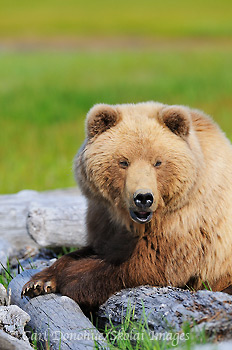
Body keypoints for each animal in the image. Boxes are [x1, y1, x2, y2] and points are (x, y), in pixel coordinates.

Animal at [21, 102, 232, 310]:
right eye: (123, 162)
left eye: (158, 162)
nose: (143, 197)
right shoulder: (105, 218)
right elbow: (95, 247)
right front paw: (39, 282)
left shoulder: (190, 225)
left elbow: (146, 263)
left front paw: (69, 278)